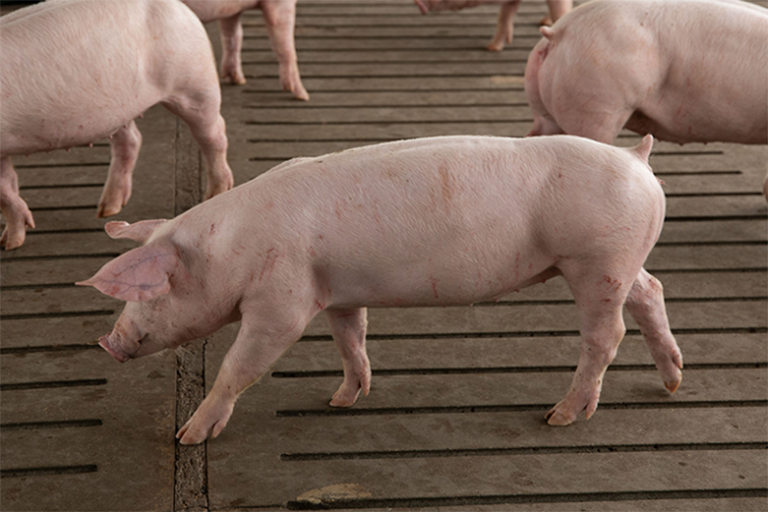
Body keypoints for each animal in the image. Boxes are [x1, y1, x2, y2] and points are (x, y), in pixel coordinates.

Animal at [0, 0, 234, 250]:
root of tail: (181, 8)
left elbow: (3, 191)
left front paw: (9, 245)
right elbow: (7, 186)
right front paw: (8, 242)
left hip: (196, 83)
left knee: (214, 135)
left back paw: (215, 194)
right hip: (120, 111)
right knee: (131, 141)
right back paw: (107, 210)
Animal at [77, 134, 683, 445]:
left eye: (150, 289)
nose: (109, 341)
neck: (229, 249)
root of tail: (637, 157)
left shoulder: (281, 301)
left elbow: (238, 367)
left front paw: (188, 436)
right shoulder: (337, 291)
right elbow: (352, 338)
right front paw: (342, 399)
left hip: (596, 262)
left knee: (607, 334)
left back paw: (560, 416)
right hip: (621, 263)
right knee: (651, 291)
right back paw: (672, 382)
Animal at [181, 0, 309, 101]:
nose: (305, 96)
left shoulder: (231, 9)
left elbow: (234, 36)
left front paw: (238, 81)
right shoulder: (280, 4)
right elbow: (287, 48)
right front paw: (303, 96)